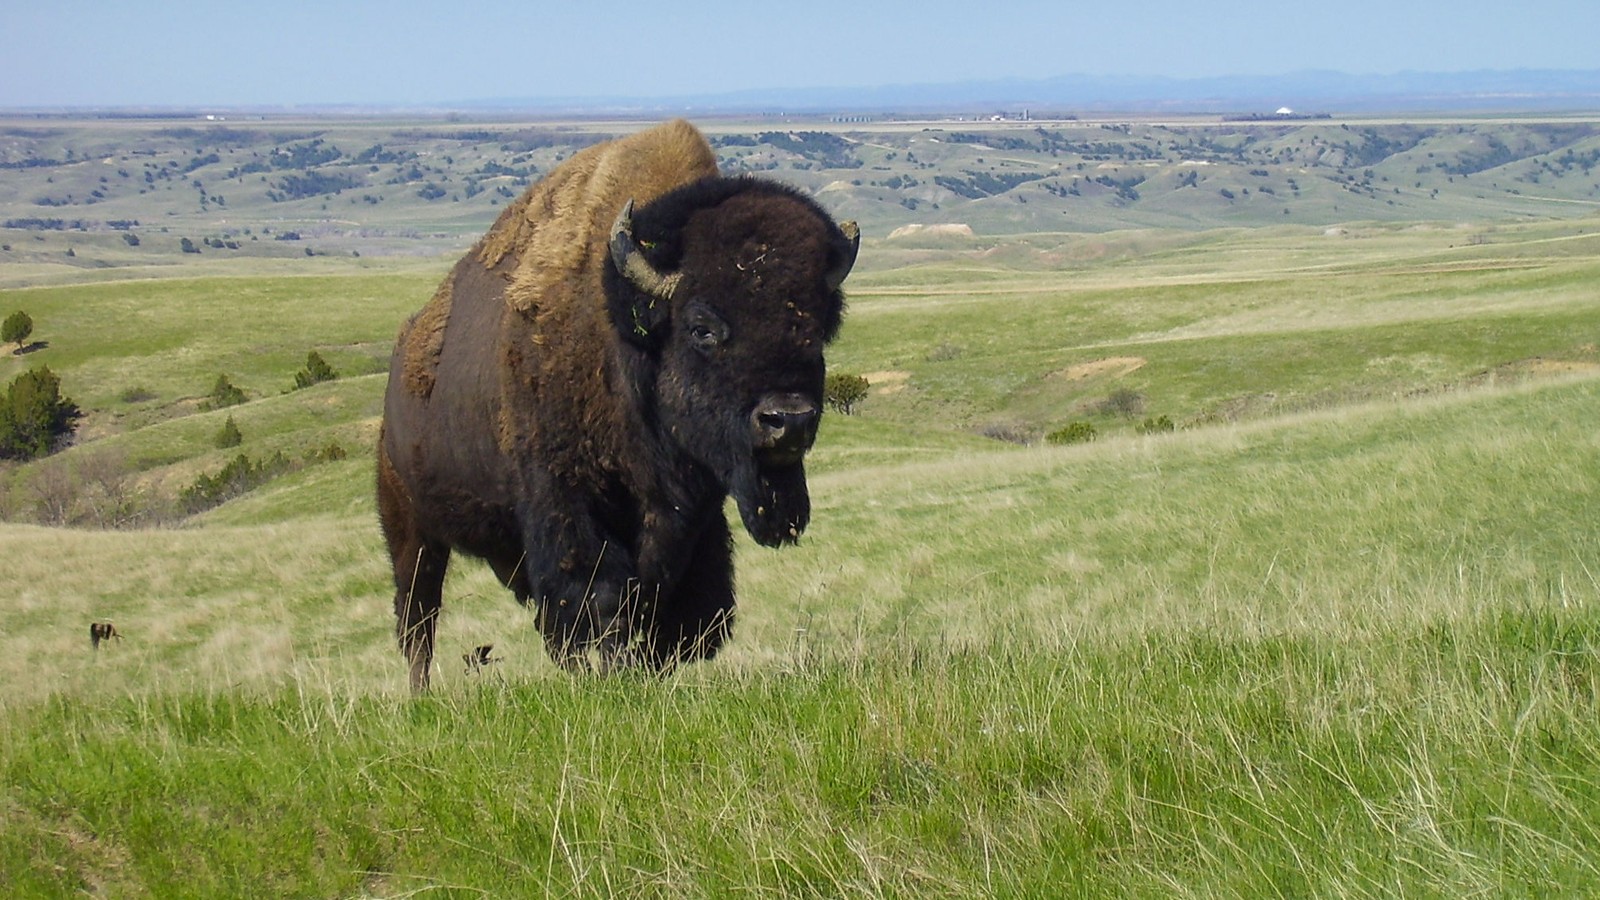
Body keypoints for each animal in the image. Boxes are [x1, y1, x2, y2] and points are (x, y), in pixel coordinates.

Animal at [377, 120, 859, 690]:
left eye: (816, 327)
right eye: (701, 327)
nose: (788, 420)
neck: (625, 339)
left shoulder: (687, 519)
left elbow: (672, 604)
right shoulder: (567, 501)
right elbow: (601, 595)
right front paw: (613, 671)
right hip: (410, 526)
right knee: (418, 617)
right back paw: (420, 693)